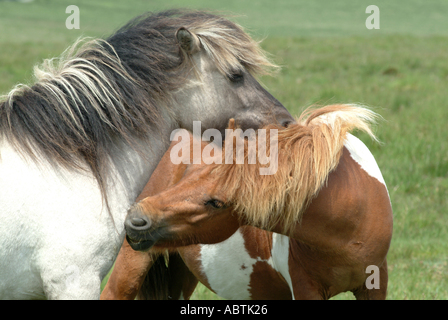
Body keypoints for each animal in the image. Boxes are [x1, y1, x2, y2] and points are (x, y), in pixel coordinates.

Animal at [101, 105, 392, 300]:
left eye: (216, 203)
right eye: (188, 174)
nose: (136, 219)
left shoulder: (375, 285)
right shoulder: (305, 288)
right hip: (130, 269)